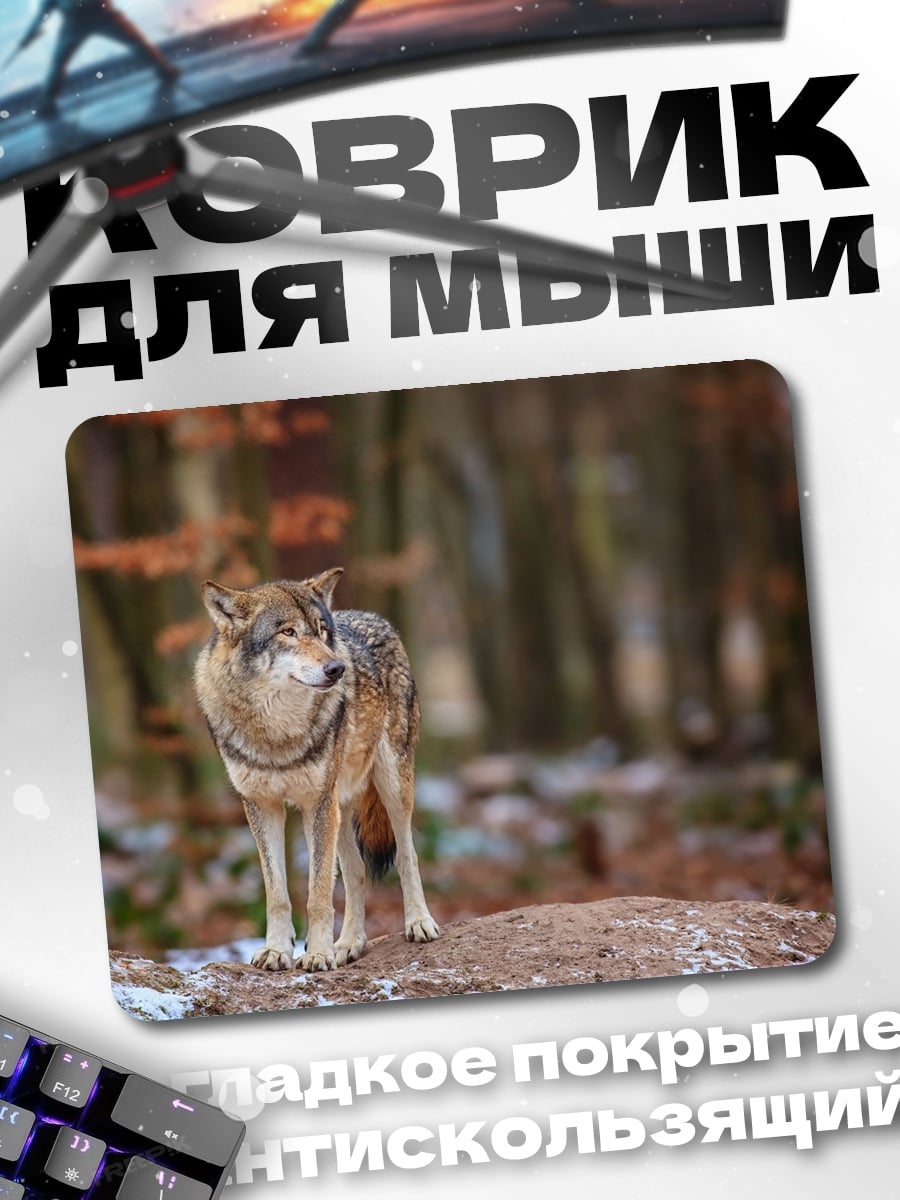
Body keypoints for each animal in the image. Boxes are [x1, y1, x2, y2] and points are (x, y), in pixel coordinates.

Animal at [194, 568, 440, 972]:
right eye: (288, 632)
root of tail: (374, 617)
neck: (277, 734)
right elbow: (277, 892)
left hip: (390, 787)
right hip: (339, 807)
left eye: (323, 631)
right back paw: (350, 943)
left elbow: (319, 892)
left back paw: (419, 923)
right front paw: (278, 950)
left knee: (407, 856)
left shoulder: (316, 804)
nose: (337, 668)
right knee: (356, 872)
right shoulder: (262, 807)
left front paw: (318, 954)